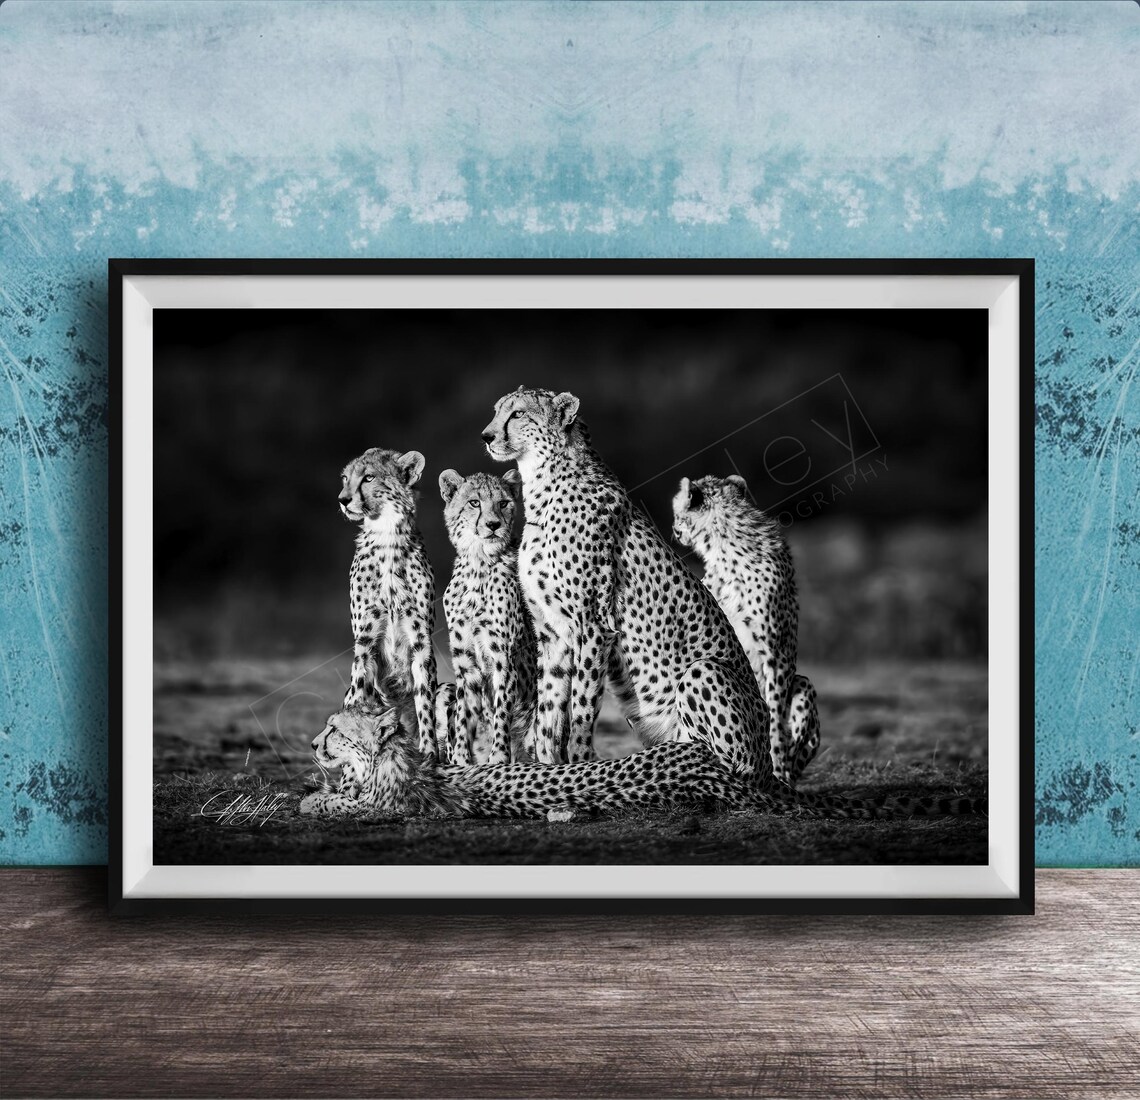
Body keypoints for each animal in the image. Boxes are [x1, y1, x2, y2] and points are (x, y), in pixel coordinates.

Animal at [338, 447, 438, 759]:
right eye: (345, 478)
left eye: (368, 477)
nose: (342, 499)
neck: (387, 537)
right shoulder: (365, 641)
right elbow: (358, 699)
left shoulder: (421, 642)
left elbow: (425, 707)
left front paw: (431, 755)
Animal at [439, 468, 538, 765]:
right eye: (474, 502)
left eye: (503, 502)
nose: (493, 525)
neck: (478, 562)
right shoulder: (465, 662)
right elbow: (463, 713)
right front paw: (462, 757)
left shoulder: (503, 657)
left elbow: (502, 712)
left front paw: (499, 758)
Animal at [672, 473, 820, 786]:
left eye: (679, 514)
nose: (674, 530)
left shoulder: (776, 654)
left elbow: (775, 716)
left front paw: (777, 764)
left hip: (803, 685)